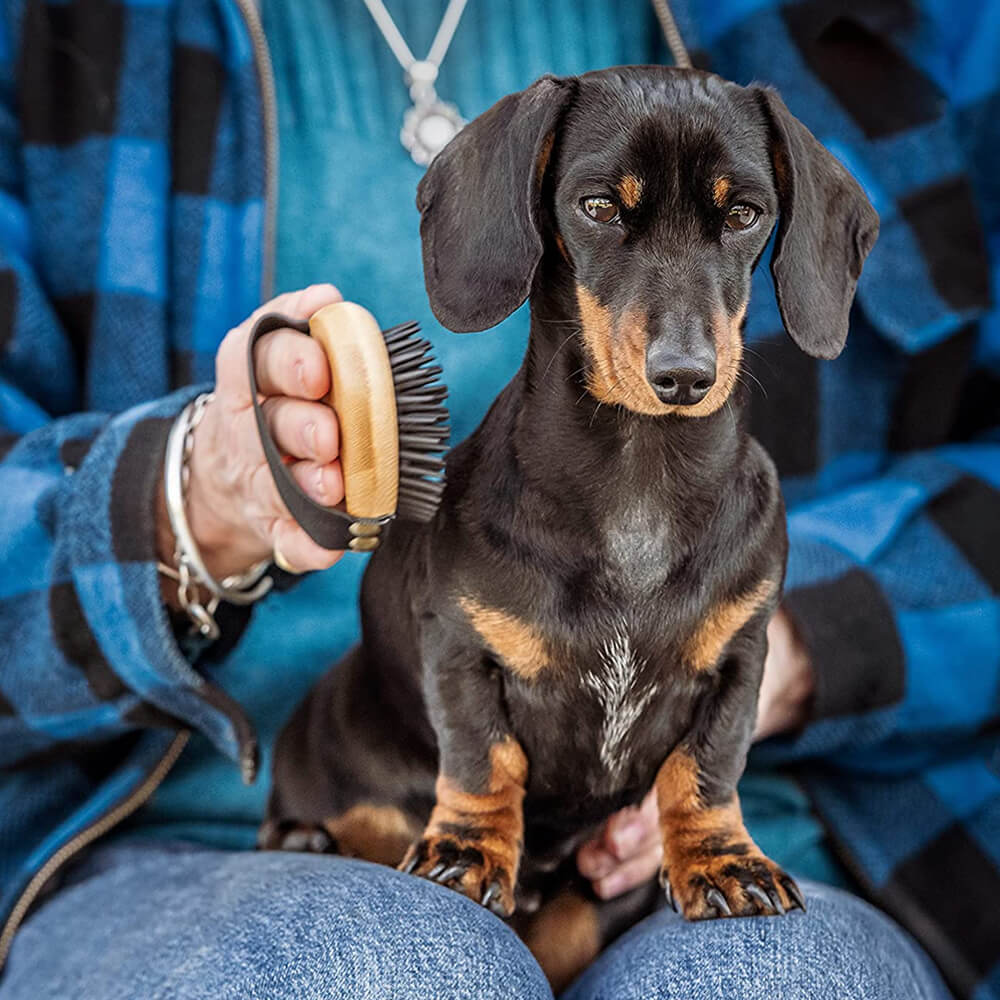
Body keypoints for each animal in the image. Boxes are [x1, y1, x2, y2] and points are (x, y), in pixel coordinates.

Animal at [262, 66, 880, 988]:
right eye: (596, 207)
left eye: (744, 214)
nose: (684, 376)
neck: (638, 480)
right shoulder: (461, 646)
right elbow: (484, 755)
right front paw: (468, 850)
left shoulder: (743, 654)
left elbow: (707, 767)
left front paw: (721, 862)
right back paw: (305, 839)